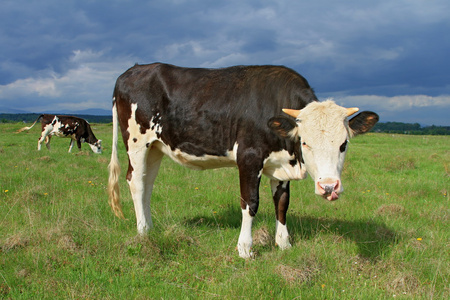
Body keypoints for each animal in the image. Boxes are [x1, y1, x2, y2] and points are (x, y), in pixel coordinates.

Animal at [107, 63, 378, 258]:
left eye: (344, 144)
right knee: (136, 182)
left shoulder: (281, 166)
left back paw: (151, 227)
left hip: (156, 147)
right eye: (305, 142)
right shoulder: (249, 157)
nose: (329, 187)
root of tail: (135, 69)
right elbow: (250, 203)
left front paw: (284, 244)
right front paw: (245, 249)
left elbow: (282, 204)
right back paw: (142, 232)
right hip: (136, 142)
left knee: (147, 185)